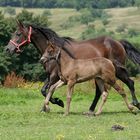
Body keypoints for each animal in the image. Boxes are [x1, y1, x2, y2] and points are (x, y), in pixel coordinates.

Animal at [4, 20, 139, 115]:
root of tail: (118, 42)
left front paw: (58, 103)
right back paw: (91, 110)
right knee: (100, 91)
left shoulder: (54, 76)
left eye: (18, 34)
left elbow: (47, 90)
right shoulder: (52, 76)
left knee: (129, 83)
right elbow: (44, 90)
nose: (7, 49)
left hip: (116, 72)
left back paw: (135, 104)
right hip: (99, 76)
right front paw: (47, 107)